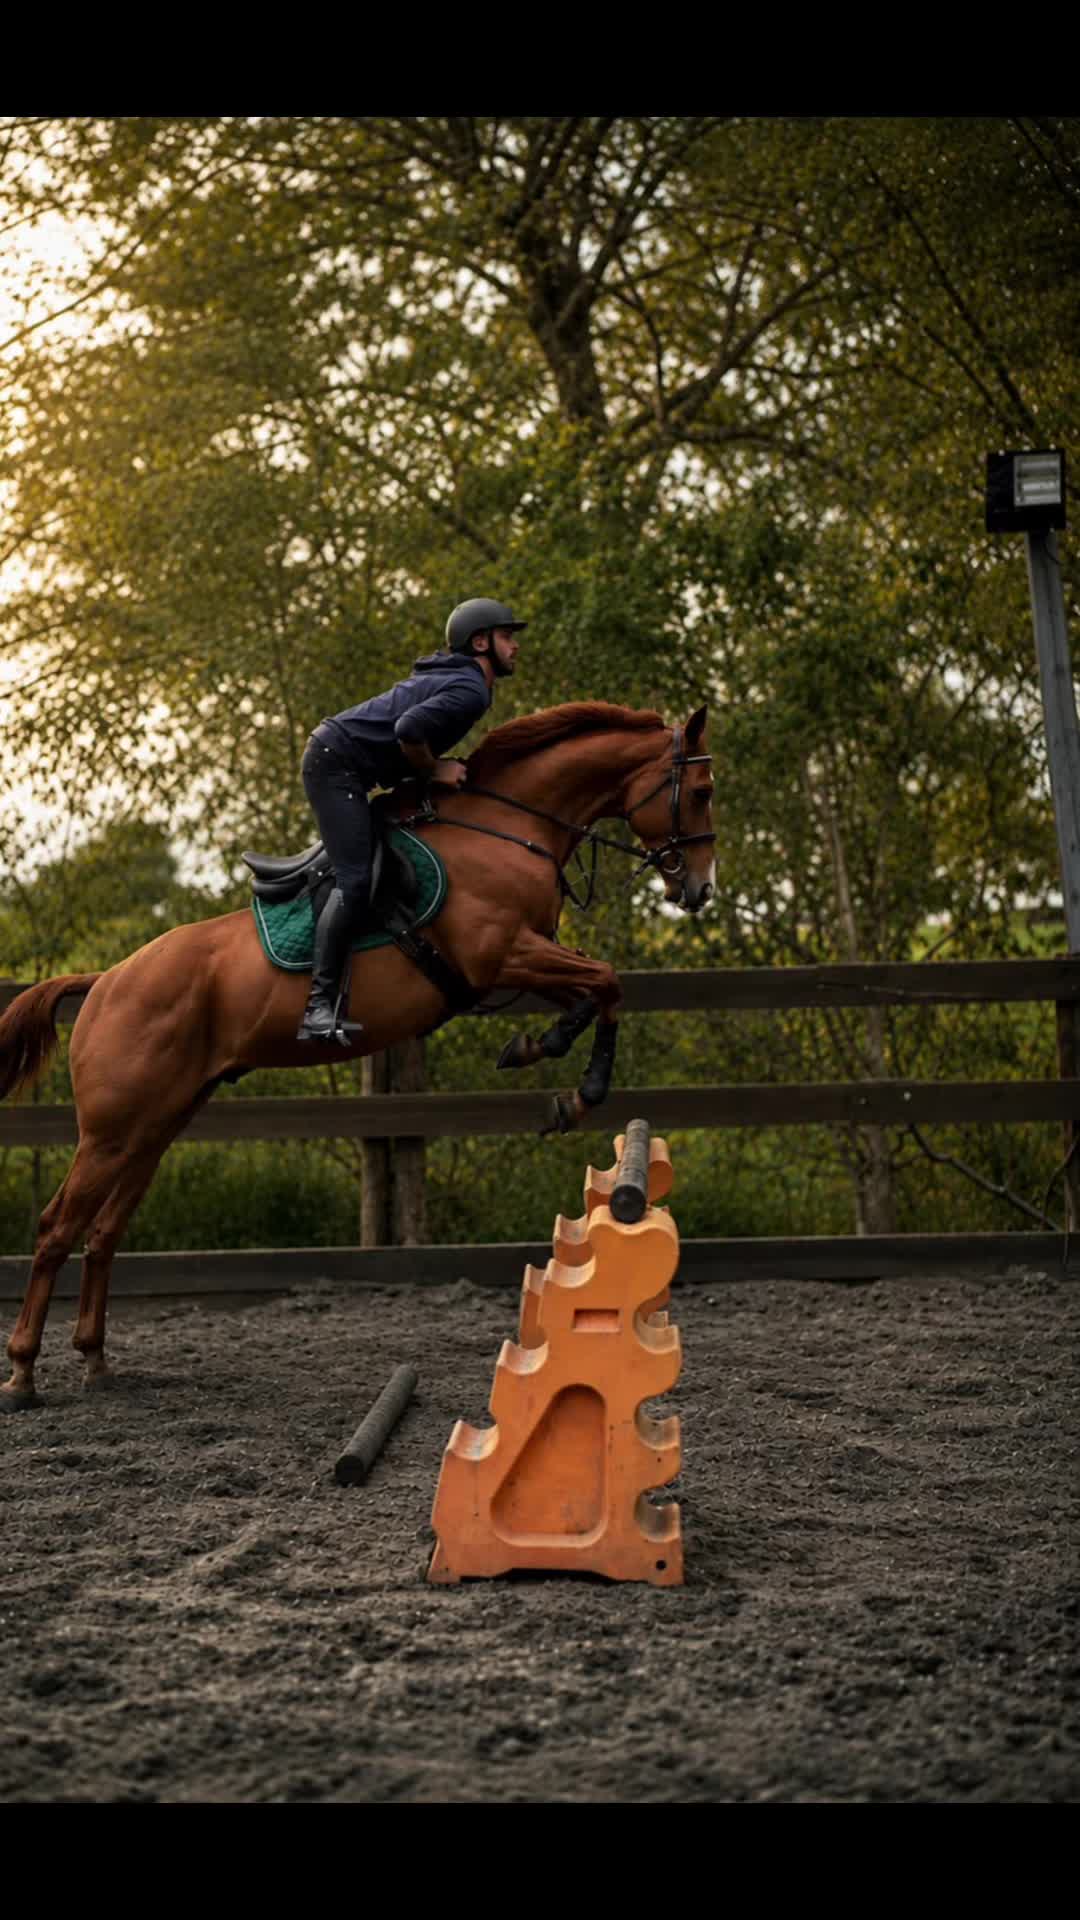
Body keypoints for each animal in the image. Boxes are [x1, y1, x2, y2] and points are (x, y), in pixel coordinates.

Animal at [0, 700, 714, 1407]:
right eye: (703, 791)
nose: (700, 889)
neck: (508, 829)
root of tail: (105, 981)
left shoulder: (526, 958)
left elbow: (598, 989)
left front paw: (546, 1059)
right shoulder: (504, 955)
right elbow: (606, 980)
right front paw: (573, 1084)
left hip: (156, 1126)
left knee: (103, 1231)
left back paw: (95, 1360)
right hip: (112, 1131)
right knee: (56, 1227)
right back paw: (23, 1373)